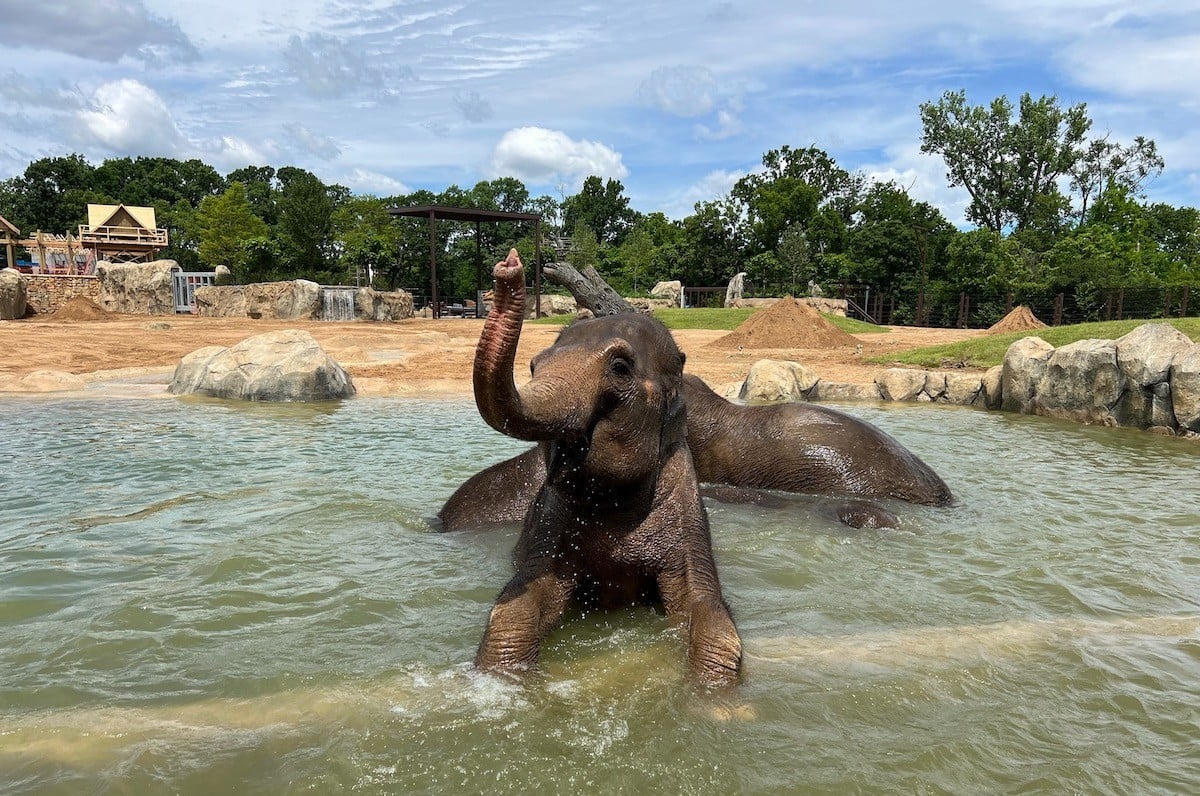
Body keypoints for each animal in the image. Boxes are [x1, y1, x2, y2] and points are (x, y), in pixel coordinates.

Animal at [468, 250, 739, 691]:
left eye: (620, 368)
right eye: (533, 366)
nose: (508, 266)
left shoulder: (687, 514)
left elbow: (704, 607)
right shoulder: (550, 522)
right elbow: (523, 602)